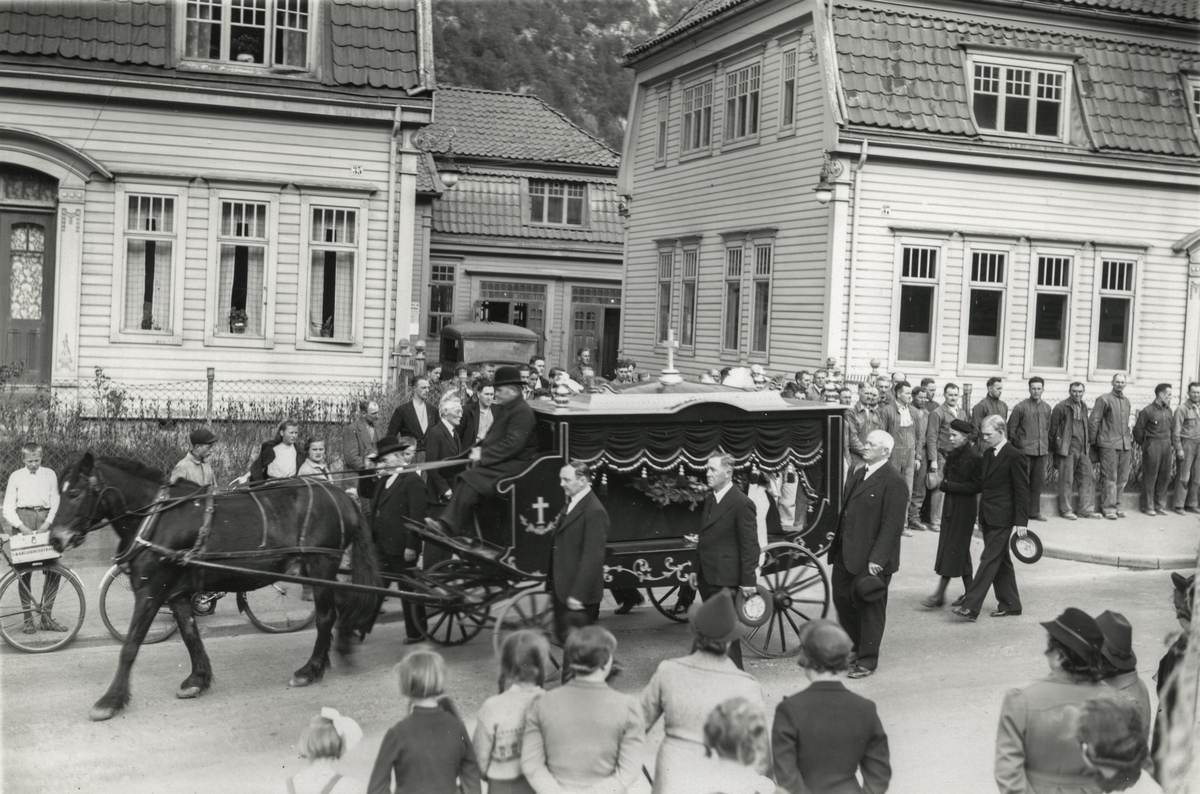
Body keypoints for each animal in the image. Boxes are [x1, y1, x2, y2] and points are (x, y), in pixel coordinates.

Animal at [48, 453, 379, 719]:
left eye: (74, 492)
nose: (55, 538)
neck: (156, 518)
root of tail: (344, 496)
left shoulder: (150, 592)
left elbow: (129, 646)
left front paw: (111, 700)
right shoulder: (177, 594)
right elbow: (190, 636)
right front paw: (198, 679)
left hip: (321, 565)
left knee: (325, 618)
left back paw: (310, 669)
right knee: (339, 608)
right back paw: (338, 649)